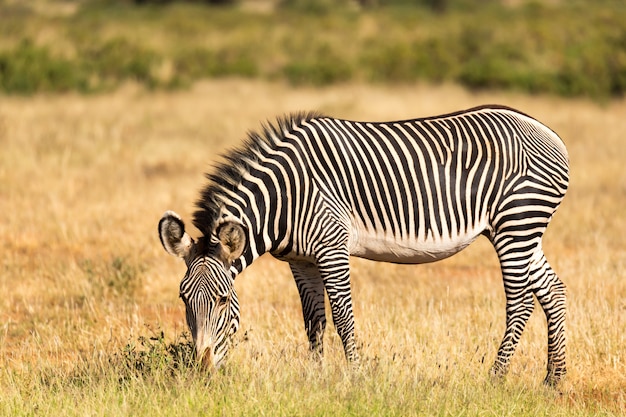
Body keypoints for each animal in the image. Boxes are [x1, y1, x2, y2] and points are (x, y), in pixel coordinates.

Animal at [158, 105, 568, 386]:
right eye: (182, 298)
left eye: (223, 299)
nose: (202, 371)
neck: (284, 198)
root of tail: (547, 130)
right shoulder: (301, 261)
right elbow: (314, 322)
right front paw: (316, 378)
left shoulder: (331, 246)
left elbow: (343, 318)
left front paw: (354, 379)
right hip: (521, 230)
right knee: (553, 291)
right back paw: (554, 380)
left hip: (516, 224)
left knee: (520, 304)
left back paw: (494, 379)